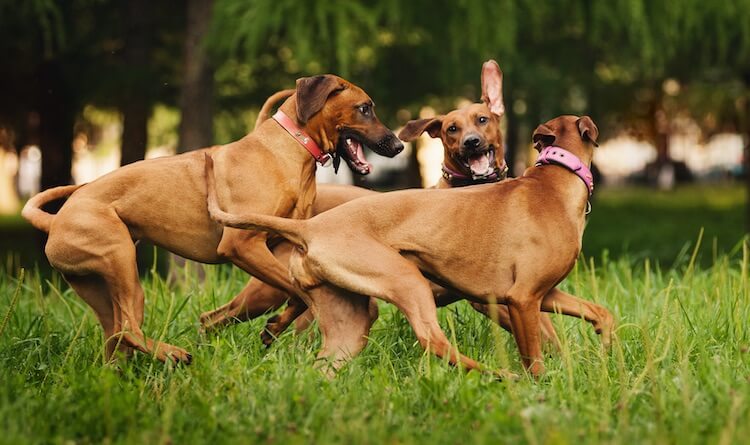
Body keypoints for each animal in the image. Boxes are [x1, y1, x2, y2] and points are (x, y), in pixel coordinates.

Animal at [20, 74, 402, 362]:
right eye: (365, 108)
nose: (398, 146)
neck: (290, 147)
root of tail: (55, 220)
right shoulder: (241, 246)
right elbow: (296, 291)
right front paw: (279, 325)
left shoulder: (280, 245)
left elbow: (296, 293)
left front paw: (275, 327)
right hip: (120, 261)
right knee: (129, 327)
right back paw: (175, 354)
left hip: (99, 285)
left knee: (119, 335)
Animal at [198, 59, 560, 350]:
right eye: (451, 129)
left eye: (483, 120)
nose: (472, 143)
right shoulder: (491, 298)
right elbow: (542, 328)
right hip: (265, 289)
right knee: (224, 315)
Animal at [207, 113, 616, 374]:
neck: (554, 181)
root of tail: (309, 228)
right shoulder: (521, 299)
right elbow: (535, 356)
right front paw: (540, 386)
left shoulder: (543, 294)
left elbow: (600, 312)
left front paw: (607, 350)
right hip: (406, 282)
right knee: (432, 340)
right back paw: (496, 374)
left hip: (349, 322)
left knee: (322, 364)